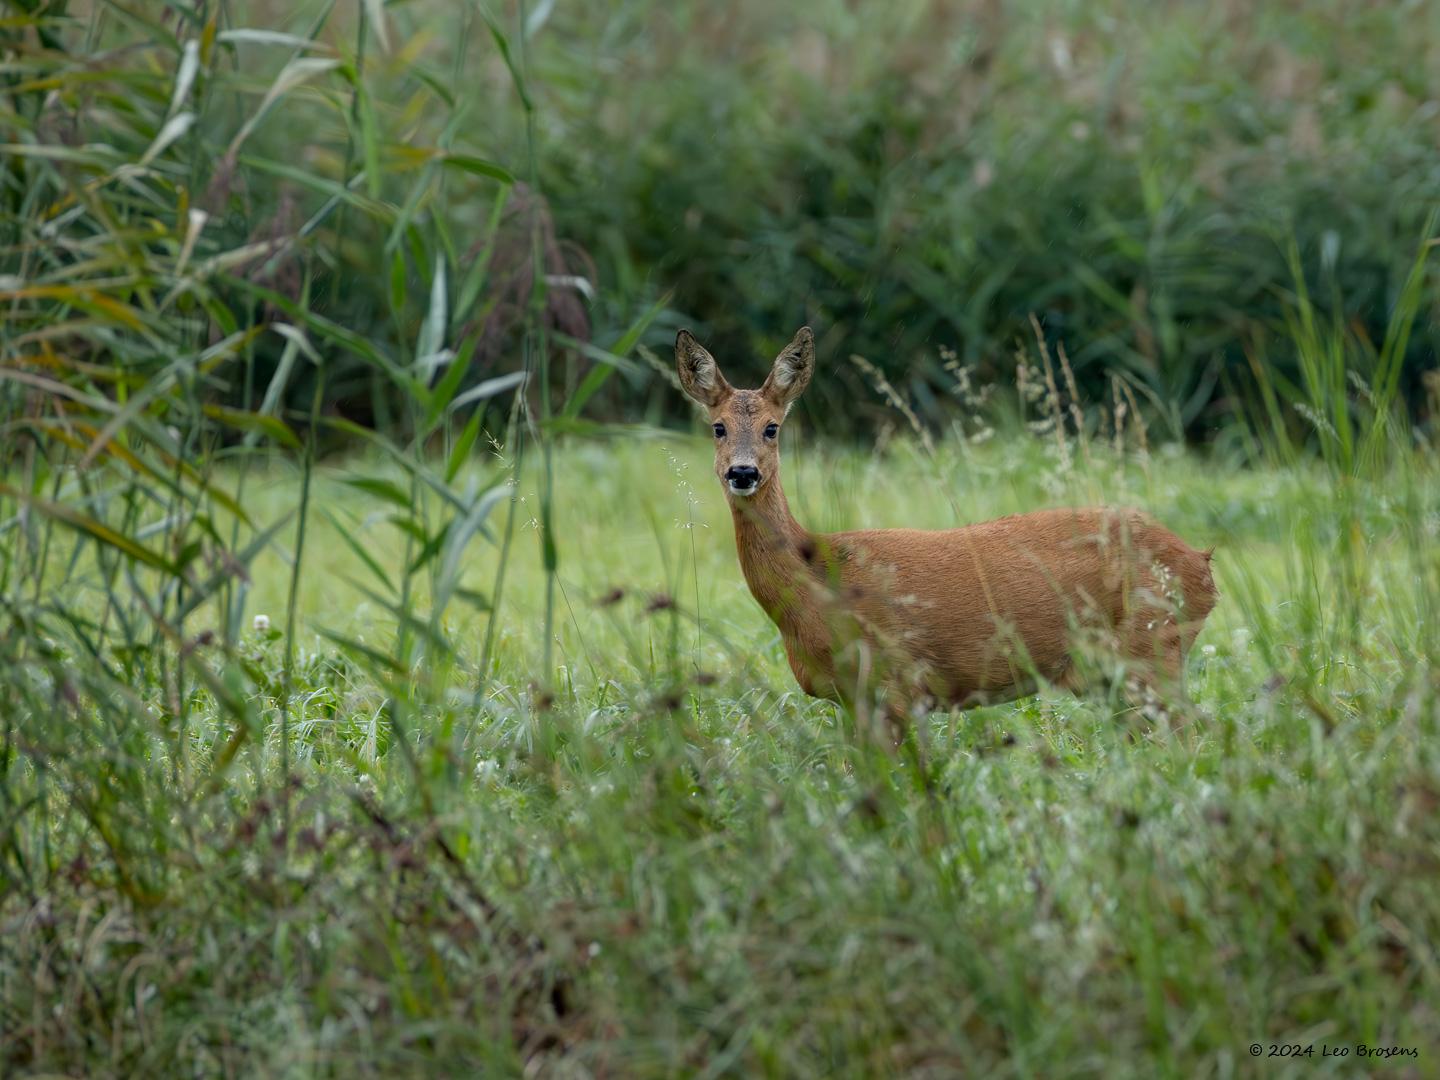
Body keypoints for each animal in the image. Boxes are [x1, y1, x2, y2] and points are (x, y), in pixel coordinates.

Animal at [676, 328, 1215, 737]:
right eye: (718, 428)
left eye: (772, 428)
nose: (742, 472)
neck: (816, 583)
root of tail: (1202, 565)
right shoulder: (851, 700)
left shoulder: (896, 682)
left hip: (1152, 650)